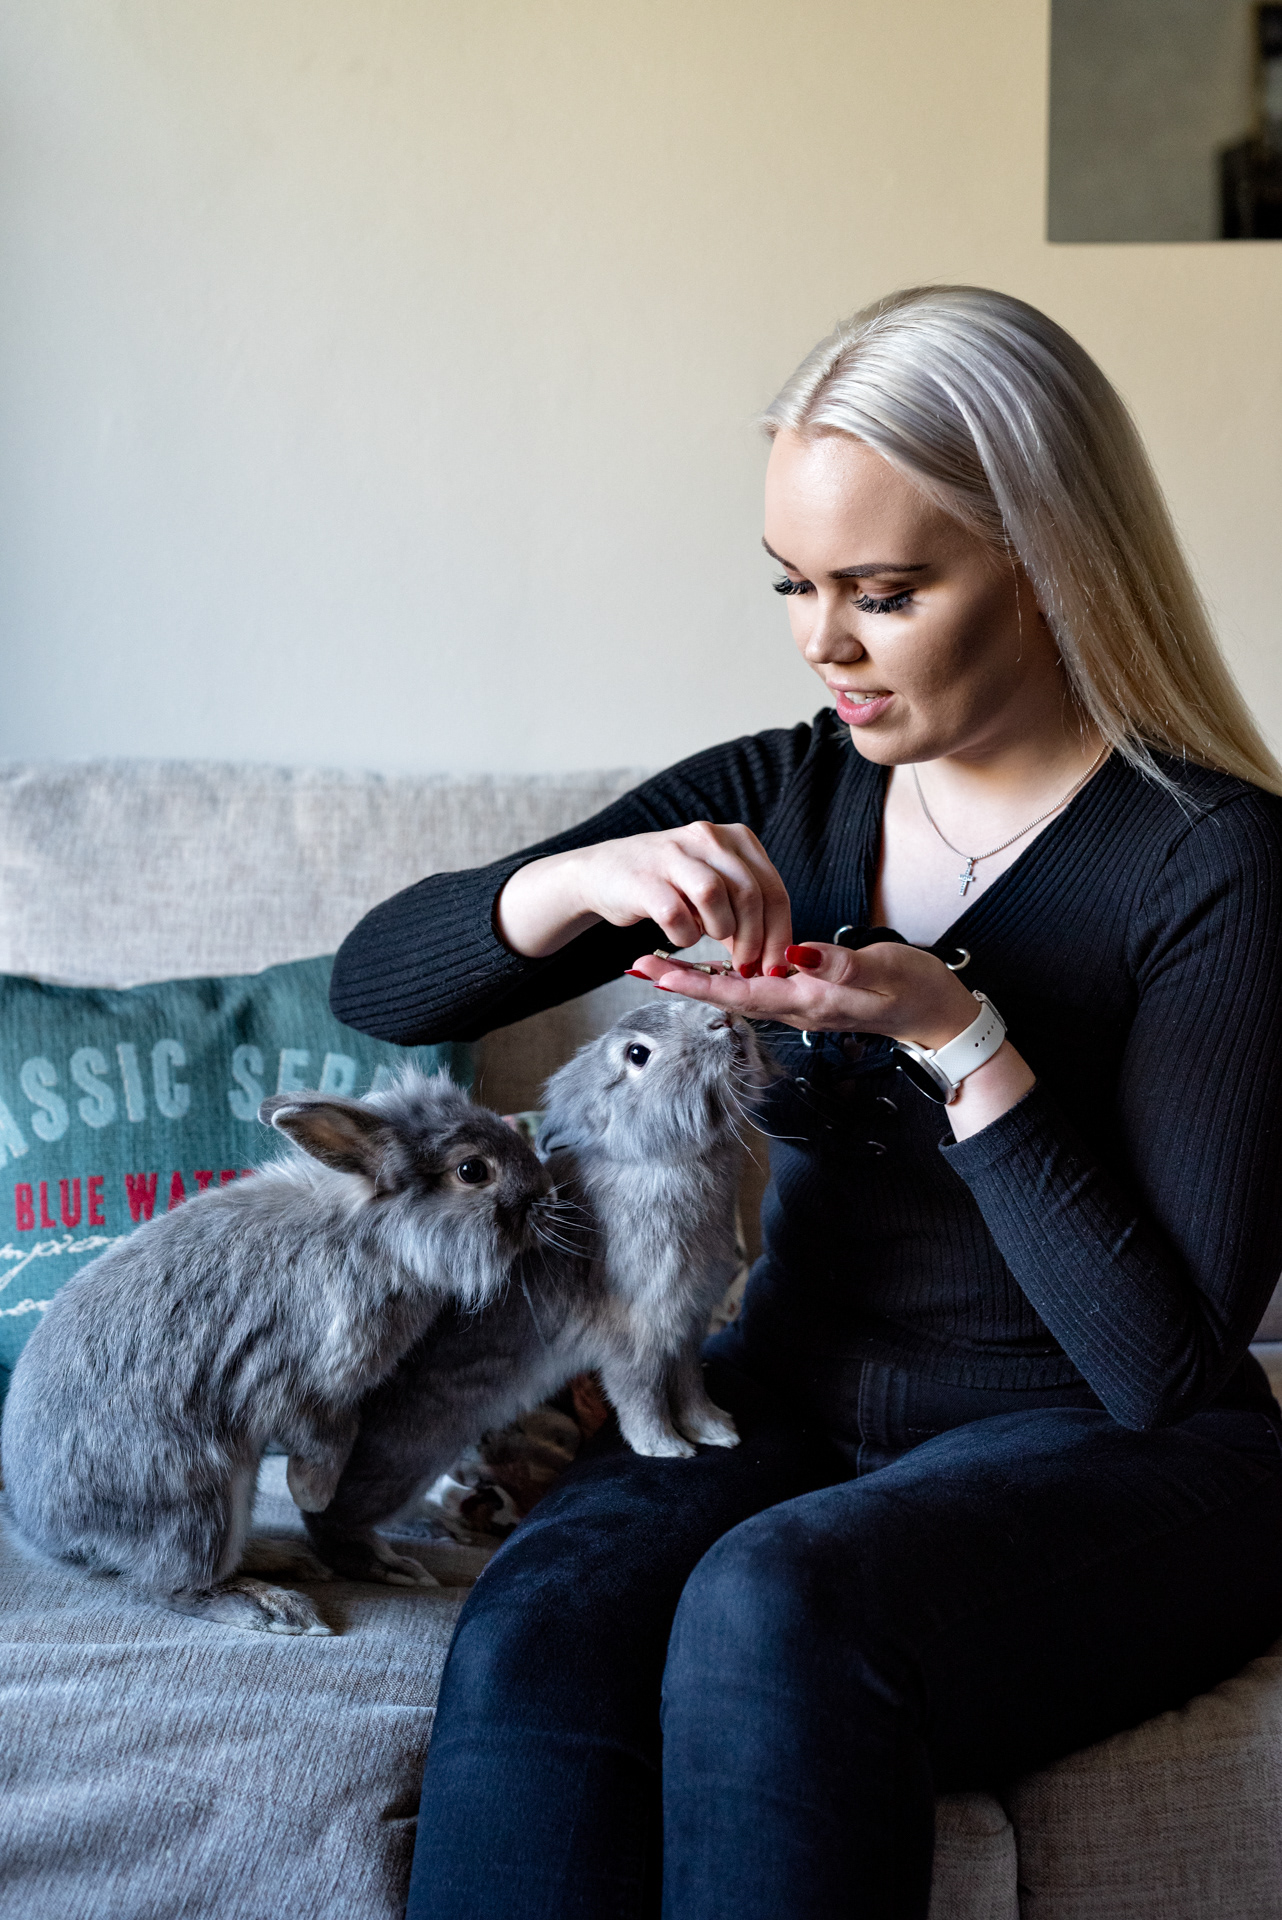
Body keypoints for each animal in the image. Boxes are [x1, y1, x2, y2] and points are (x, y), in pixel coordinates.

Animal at [0, 1070, 554, 1636]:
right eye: (472, 1170)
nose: (545, 1193)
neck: (373, 1235)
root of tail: (43, 1528)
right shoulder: (296, 1381)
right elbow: (329, 1439)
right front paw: (312, 1492)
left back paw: (285, 1559)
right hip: (197, 1497)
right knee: (173, 1585)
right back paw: (270, 1606)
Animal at [300, 997, 771, 1584]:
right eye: (638, 1054)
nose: (723, 1019)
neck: (657, 1163)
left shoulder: (685, 1330)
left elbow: (689, 1387)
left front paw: (717, 1433)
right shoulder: (633, 1337)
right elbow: (640, 1395)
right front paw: (665, 1450)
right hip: (403, 1458)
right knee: (328, 1516)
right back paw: (388, 1564)